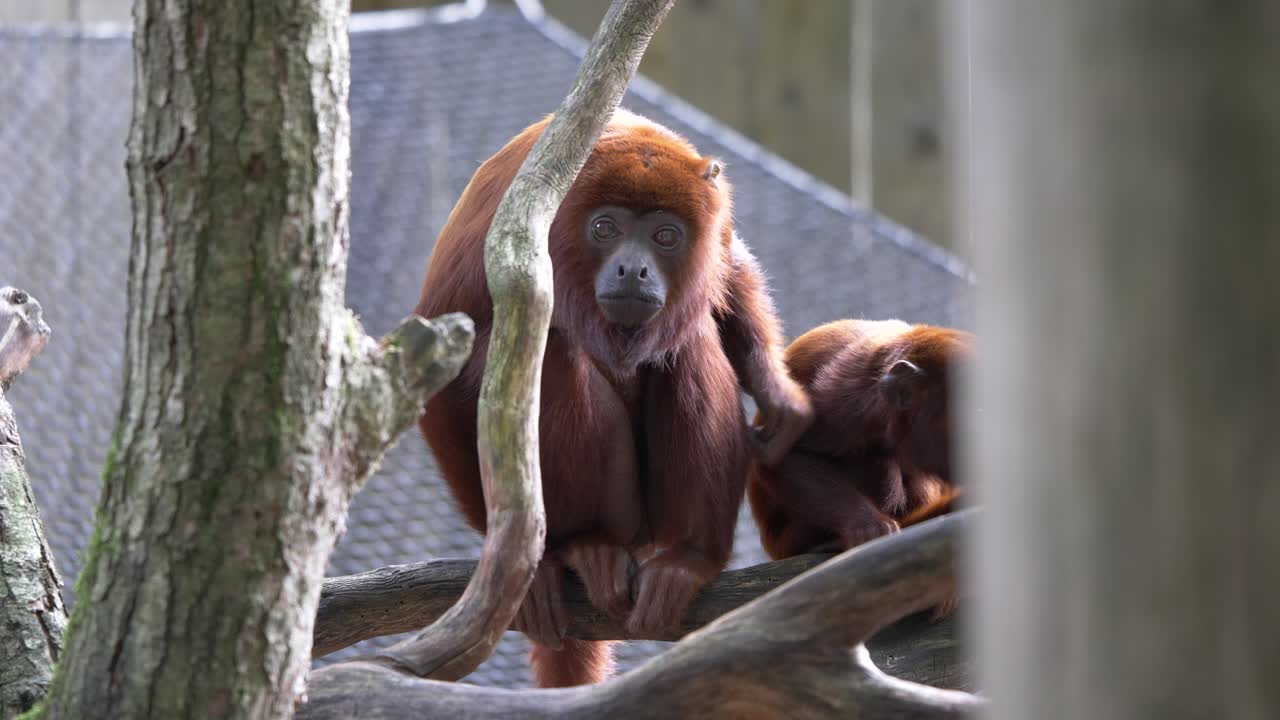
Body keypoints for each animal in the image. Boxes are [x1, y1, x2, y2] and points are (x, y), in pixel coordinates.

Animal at [414, 110, 811, 687]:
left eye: (666, 236)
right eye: (605, 229)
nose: (633, 269)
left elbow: (728, 266)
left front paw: (777, 391)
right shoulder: (496, 235)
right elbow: (441, 380)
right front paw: (524, 566)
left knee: (688, 340)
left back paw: (689, 559)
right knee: (553, 351)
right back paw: (582, 545)